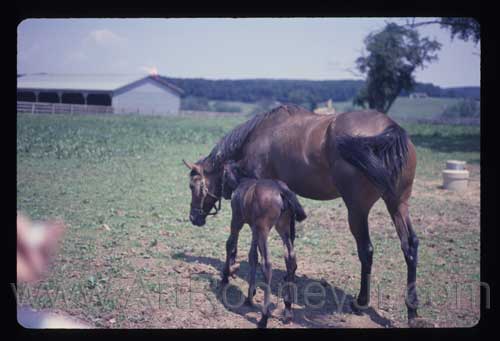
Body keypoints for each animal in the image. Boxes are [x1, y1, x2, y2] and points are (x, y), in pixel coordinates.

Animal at [221, 161, 306, 328]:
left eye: (223, 176)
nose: (224, 194)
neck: (242, 182)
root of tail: (281, 189)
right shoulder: (254, 228)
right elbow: (252, 256)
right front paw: (250, 296)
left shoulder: (237, 220)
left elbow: (230, 244)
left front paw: (225, 277)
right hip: (283, 228)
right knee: (290, 259)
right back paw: (288, 310)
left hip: (264, 229)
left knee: (267, 264)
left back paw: (264, 317)